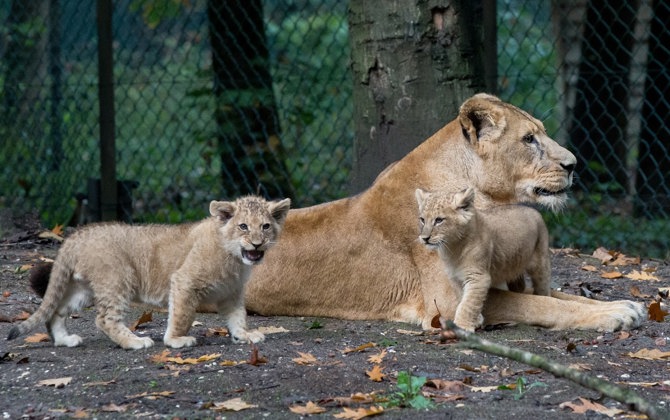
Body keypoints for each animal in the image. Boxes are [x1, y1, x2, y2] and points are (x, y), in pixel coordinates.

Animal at [244, 93, 645, 331]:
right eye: (529, 139)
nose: (573, 165)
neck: (488, 201)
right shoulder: (447, 302)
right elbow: (539, 305)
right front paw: (613, 314)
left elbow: (557, 296)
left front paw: (625, 304)